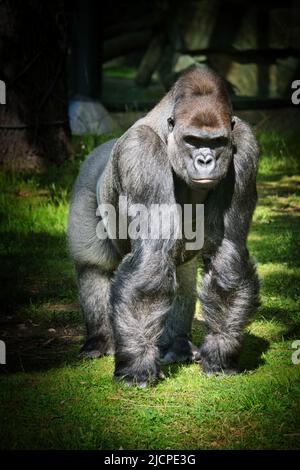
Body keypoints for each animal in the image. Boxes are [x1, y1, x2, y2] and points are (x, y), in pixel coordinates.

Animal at [68, 65, 260, 386]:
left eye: (217, 142)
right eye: (193, 140)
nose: (205, 160)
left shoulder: (245, 146)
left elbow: (228, 251)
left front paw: (220, 353)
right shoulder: (141, 151)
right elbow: (151, 258)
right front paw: (136, 366)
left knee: (182, 278)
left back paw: (177, 346)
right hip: (85, 184)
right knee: (94, 265)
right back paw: (98, 340)